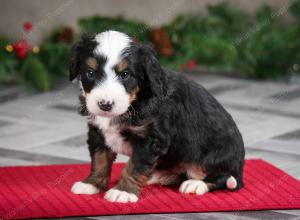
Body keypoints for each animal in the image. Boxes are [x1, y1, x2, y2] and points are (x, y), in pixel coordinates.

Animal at [69, 30, 245, 203]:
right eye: (90, 73)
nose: (105, 104)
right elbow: (99, 160)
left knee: (226, 179)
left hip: (212, 157)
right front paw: (91, 184)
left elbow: (135, 166)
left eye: (125, 74)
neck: (135, 101)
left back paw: (195, 184)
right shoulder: (97, 132)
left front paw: (123, 191)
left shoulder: (150, 139)